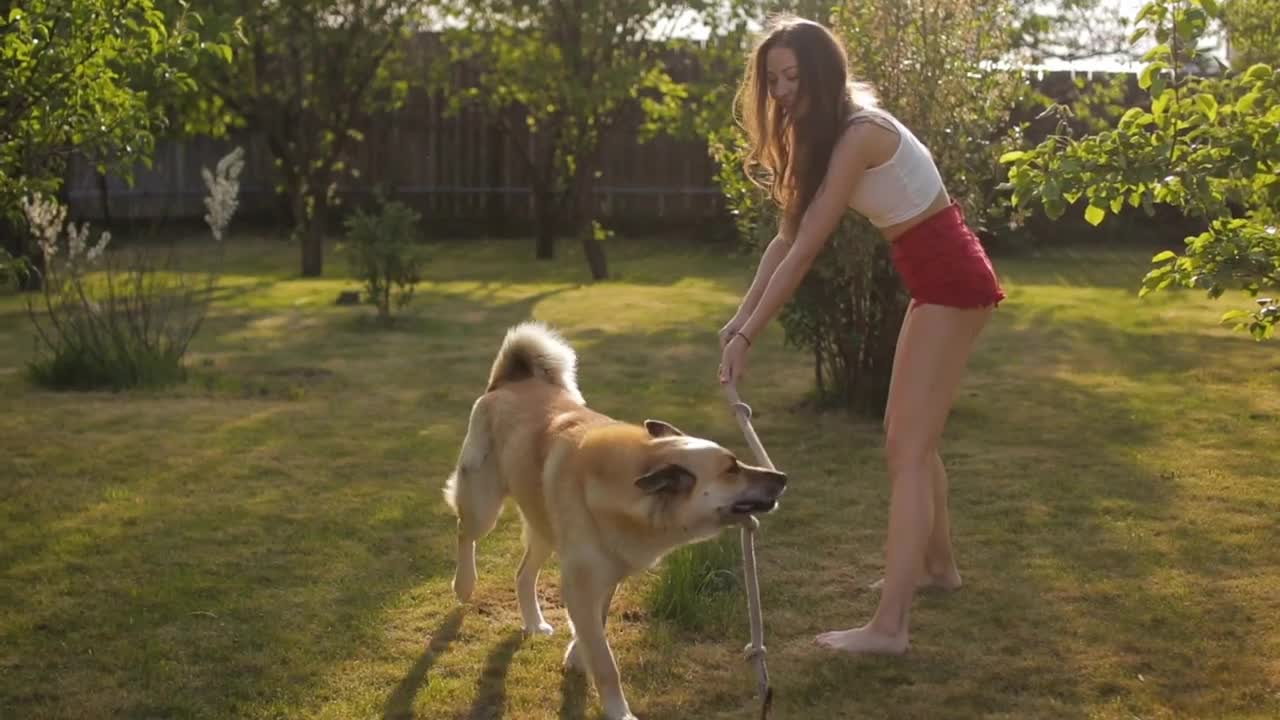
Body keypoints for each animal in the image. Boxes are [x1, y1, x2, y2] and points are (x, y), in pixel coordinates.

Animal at [448, 320, 788, 717]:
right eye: (732, 469)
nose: (782, 477)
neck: (626, 488)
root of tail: (508, 382)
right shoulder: (581, 584)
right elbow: (606, 663)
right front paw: (617, 709)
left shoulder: (605, 577)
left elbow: (595, 627)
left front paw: (577, 655)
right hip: (483, 505)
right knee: (464, 532)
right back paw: (465, 584)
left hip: (544, 528)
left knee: (522, 574)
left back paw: (533, 622)